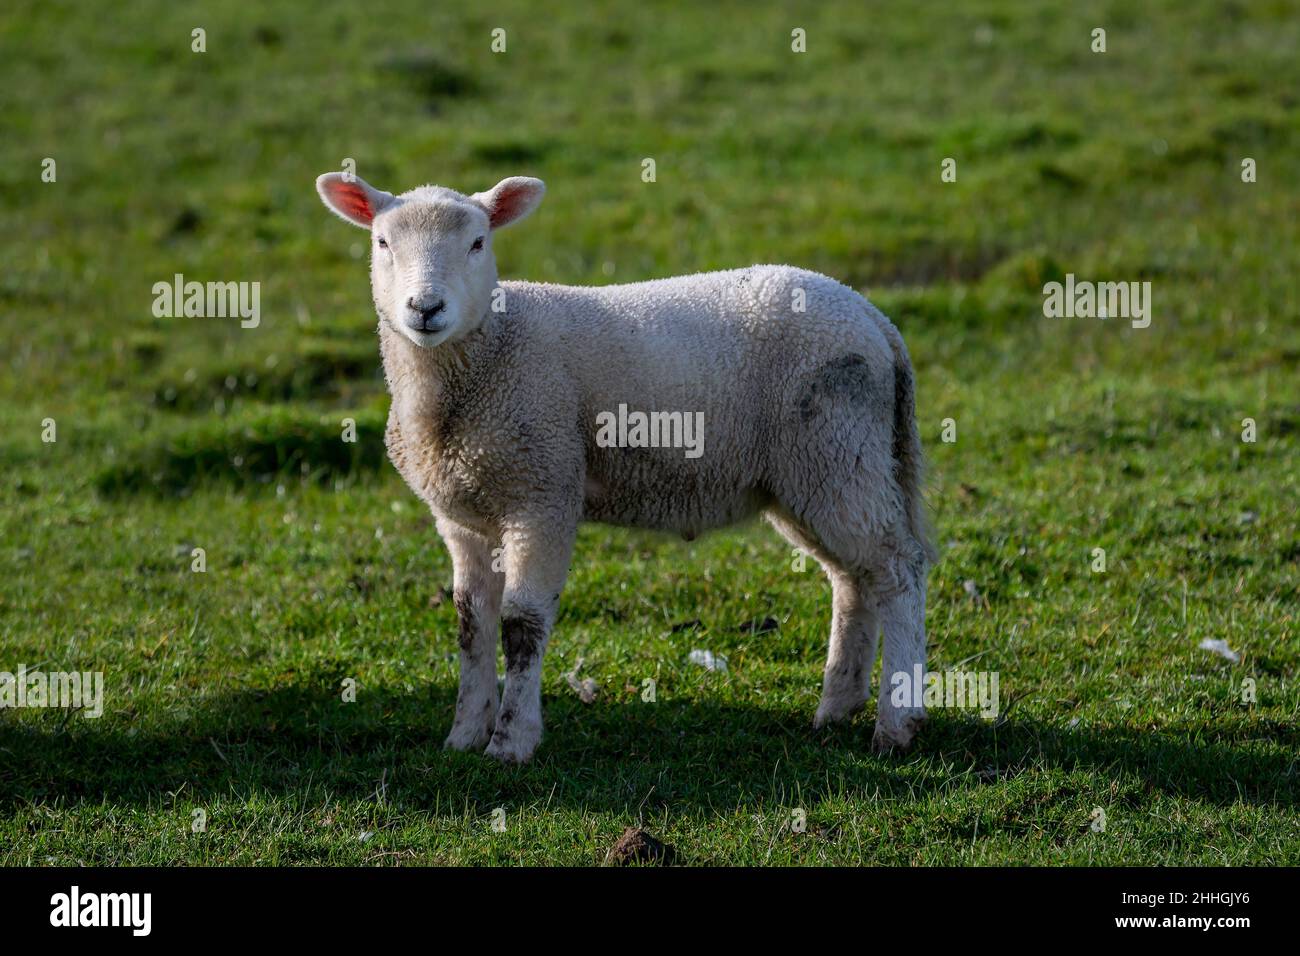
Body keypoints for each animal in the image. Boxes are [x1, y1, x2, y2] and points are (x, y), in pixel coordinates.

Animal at [319, 171, 941, 764]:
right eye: (381, 242)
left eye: (478, 242)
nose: (426, 309)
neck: (492, 350)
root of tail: (875, 320)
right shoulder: (463, 516)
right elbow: (472, 626)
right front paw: (465, 735)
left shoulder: (543, 492)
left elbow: (522, 624)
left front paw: (511, 742)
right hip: (812, 473)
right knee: (852, 580)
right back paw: (837, 706)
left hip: (839, 452)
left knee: (897, 571)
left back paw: (897, 724)